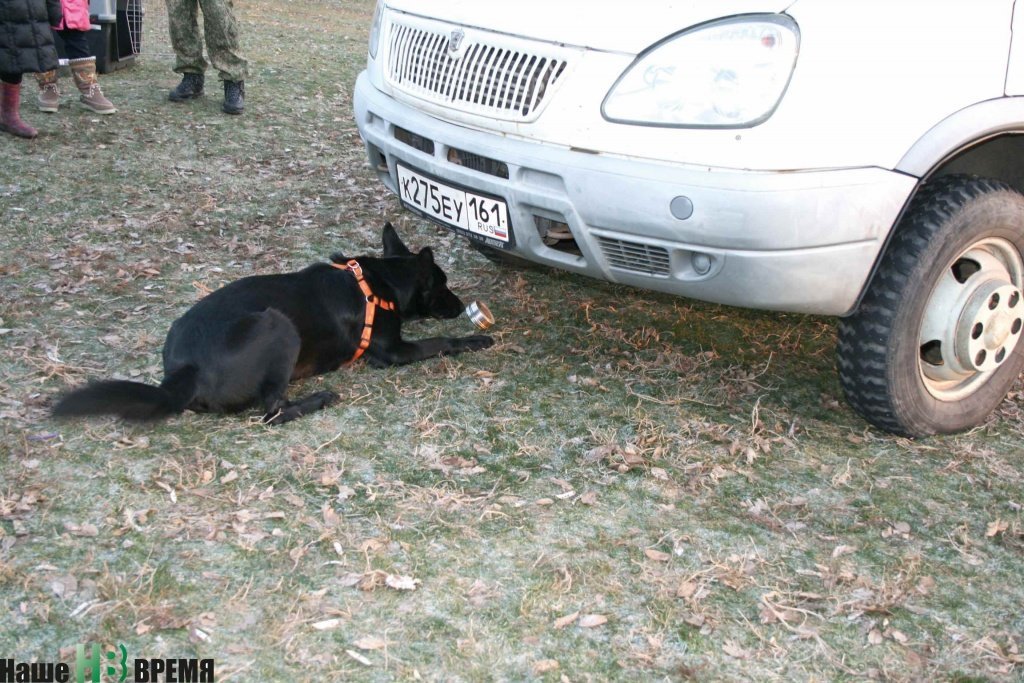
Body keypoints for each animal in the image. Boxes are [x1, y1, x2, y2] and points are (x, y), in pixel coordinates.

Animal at [55, 224, 495, 423]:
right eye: (443, 285)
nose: (461, 305)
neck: (380, 281)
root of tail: (183, 370)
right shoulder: (391, 351)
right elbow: (441, 340)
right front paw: (473, 341)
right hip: (278, 326)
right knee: (272, 412)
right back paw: (319, 399)